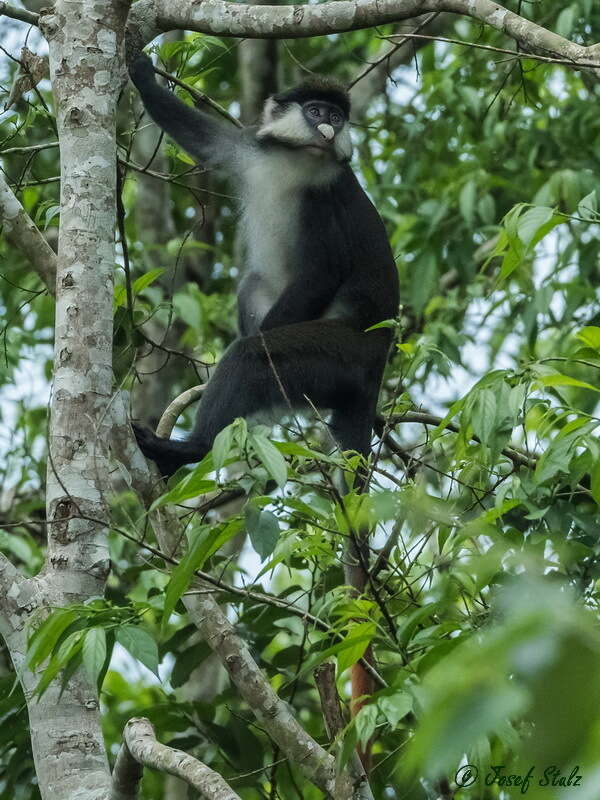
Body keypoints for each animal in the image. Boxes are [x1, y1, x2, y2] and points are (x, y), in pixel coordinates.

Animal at [127, 57, 398, 482]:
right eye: (315, 112)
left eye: (337, 117)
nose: (327, 130)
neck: (297, 160)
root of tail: (378, 361)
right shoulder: (250, 148)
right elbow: (205, 140)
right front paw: (142, 74)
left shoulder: (324, 195)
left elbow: (323, 272)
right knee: (252, 285)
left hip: (344, 354)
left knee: (253, 357)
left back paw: (189, 448)